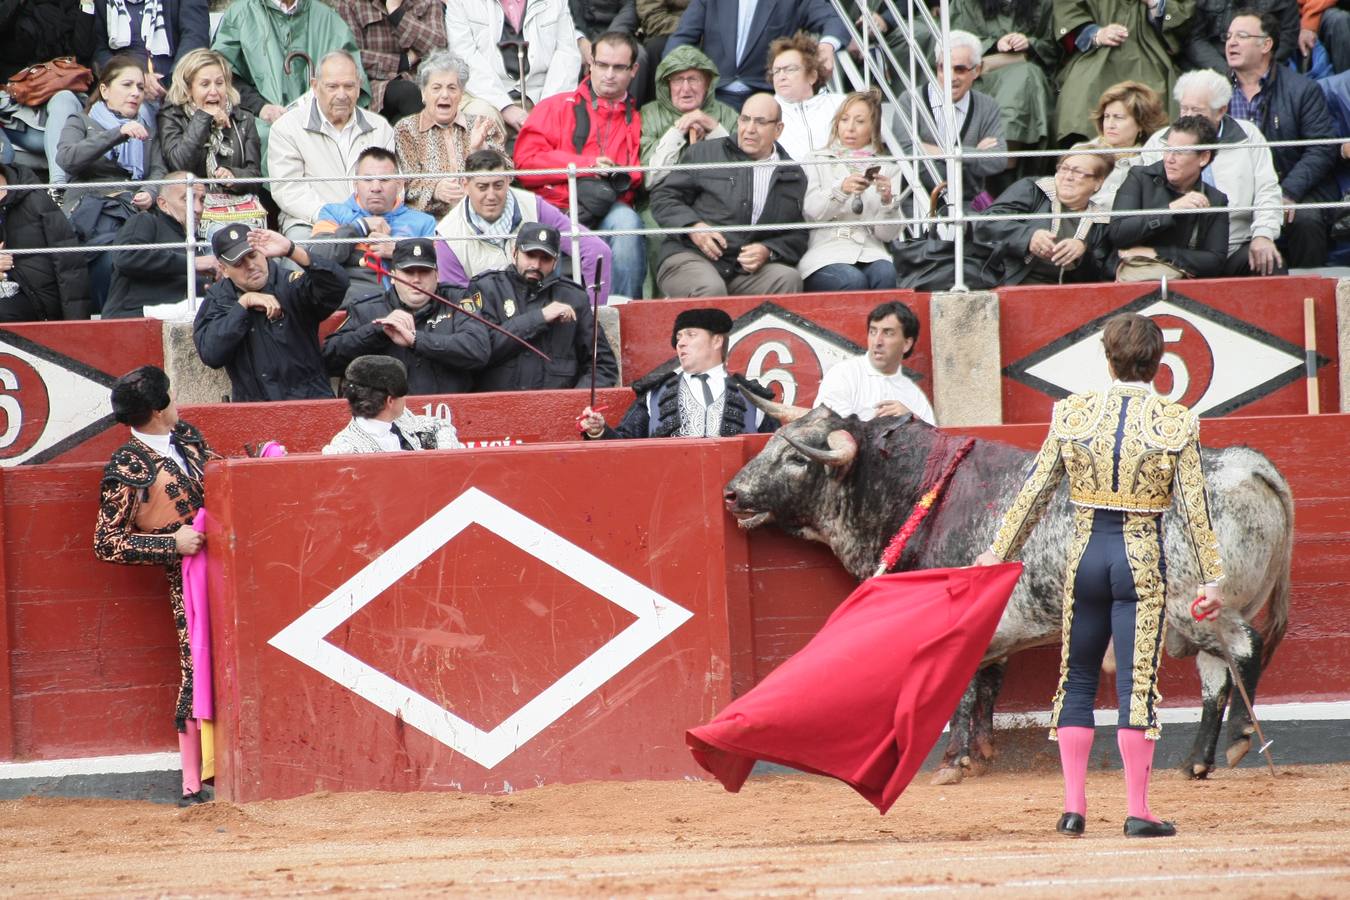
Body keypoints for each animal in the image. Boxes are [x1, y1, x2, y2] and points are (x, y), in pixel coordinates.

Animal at [723, 404, 1290, 782]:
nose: (732, 492)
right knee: (1217, 678)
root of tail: (1247, 465)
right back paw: (1196, 763)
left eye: (798, 461)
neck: (921, 490)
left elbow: (962, 692)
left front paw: (952, 762)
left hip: (1198, 608)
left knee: (1244, 650)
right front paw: (980, 753)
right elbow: (987, 686)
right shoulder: (994, 634)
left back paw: (1239, 740)